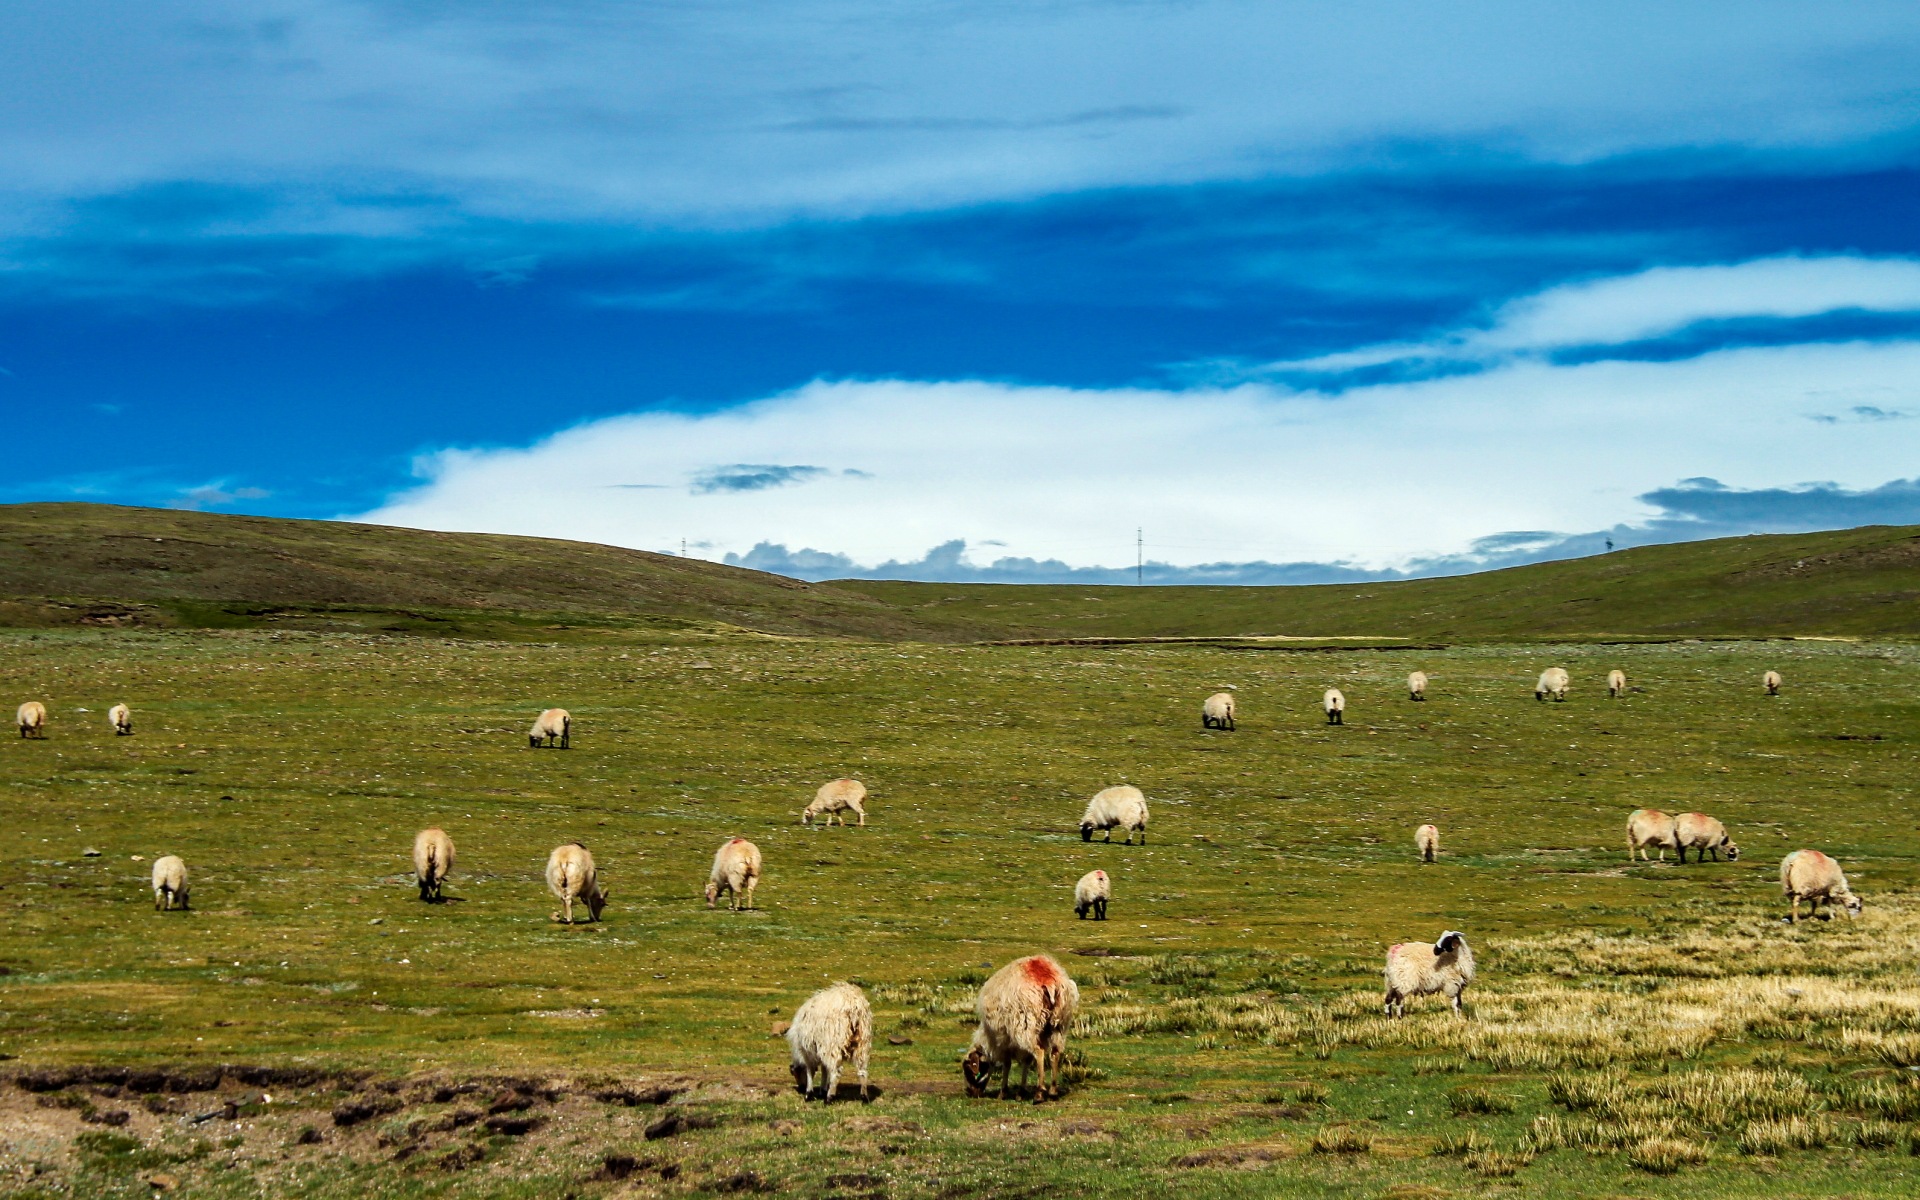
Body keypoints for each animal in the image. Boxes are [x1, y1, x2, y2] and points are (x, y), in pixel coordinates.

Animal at [960, 956, 1082, 1105]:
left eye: (968, 1069)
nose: (969, 1092)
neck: (989, 1038)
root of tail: (1048, 979)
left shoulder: (1004, 1039)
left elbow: (1007, 1064)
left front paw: (1003, 1093)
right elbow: (1026, 1062)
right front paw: (1020, 1092)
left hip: (1026, 1024)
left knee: (1039, 1052)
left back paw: (1039, 1094)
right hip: (1059, 1023)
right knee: (1055, 1052)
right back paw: (1053, 1091)